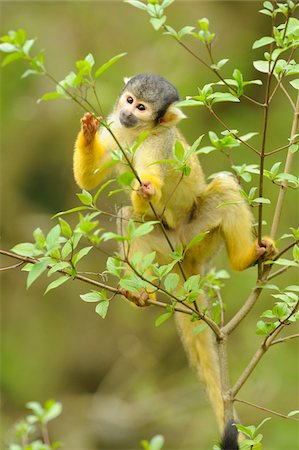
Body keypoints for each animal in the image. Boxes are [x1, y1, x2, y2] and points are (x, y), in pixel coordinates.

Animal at [72, 74, 276, 446]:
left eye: (142, 108)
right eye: (128, 100)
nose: (127, 112)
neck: (137, 133)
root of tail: (185, 259)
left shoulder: (161, 143)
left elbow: (152, 176)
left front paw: (148, 188)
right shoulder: (116, 130)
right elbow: (90, 179)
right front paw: (89, 133)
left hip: (200, 240)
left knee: (223, 187)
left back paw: (244, 258)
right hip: (171, 248)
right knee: (131, 219)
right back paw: (142, 294)